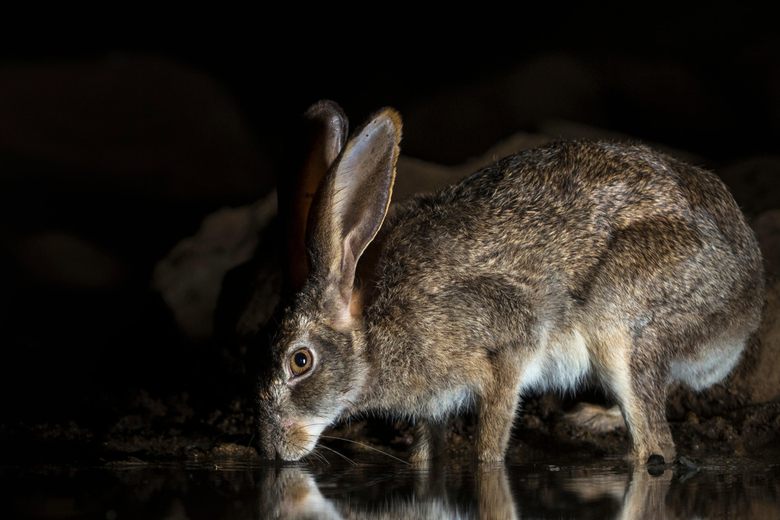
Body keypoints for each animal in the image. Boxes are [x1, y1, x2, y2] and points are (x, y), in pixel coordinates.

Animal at [254, 100, 764, 464]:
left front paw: (486, 464)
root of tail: (746, 305)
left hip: (622, 322)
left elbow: (491, 440)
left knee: (656, 446)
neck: (373, 333)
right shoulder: (432, 403)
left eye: (300, 361)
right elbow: (426, 449)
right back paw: (596, 417)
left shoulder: (507, 346)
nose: (272, 449)